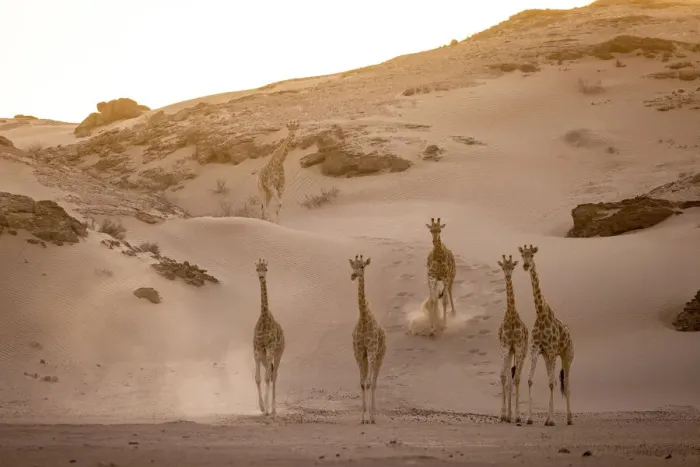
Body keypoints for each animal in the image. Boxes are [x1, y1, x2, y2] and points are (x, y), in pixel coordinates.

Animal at [518, 244, 574, 426]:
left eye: (532, 255)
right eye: (522, 255)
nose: (526, 265)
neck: (541, 315)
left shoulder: (551, 350)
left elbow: (551, 383)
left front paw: (552, 420)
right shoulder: (536, 349)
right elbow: (530, 380)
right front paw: (529, 418)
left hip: (566, 355)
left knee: (566, 383)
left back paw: (569, 418)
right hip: (549, 357)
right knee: (555, 381)